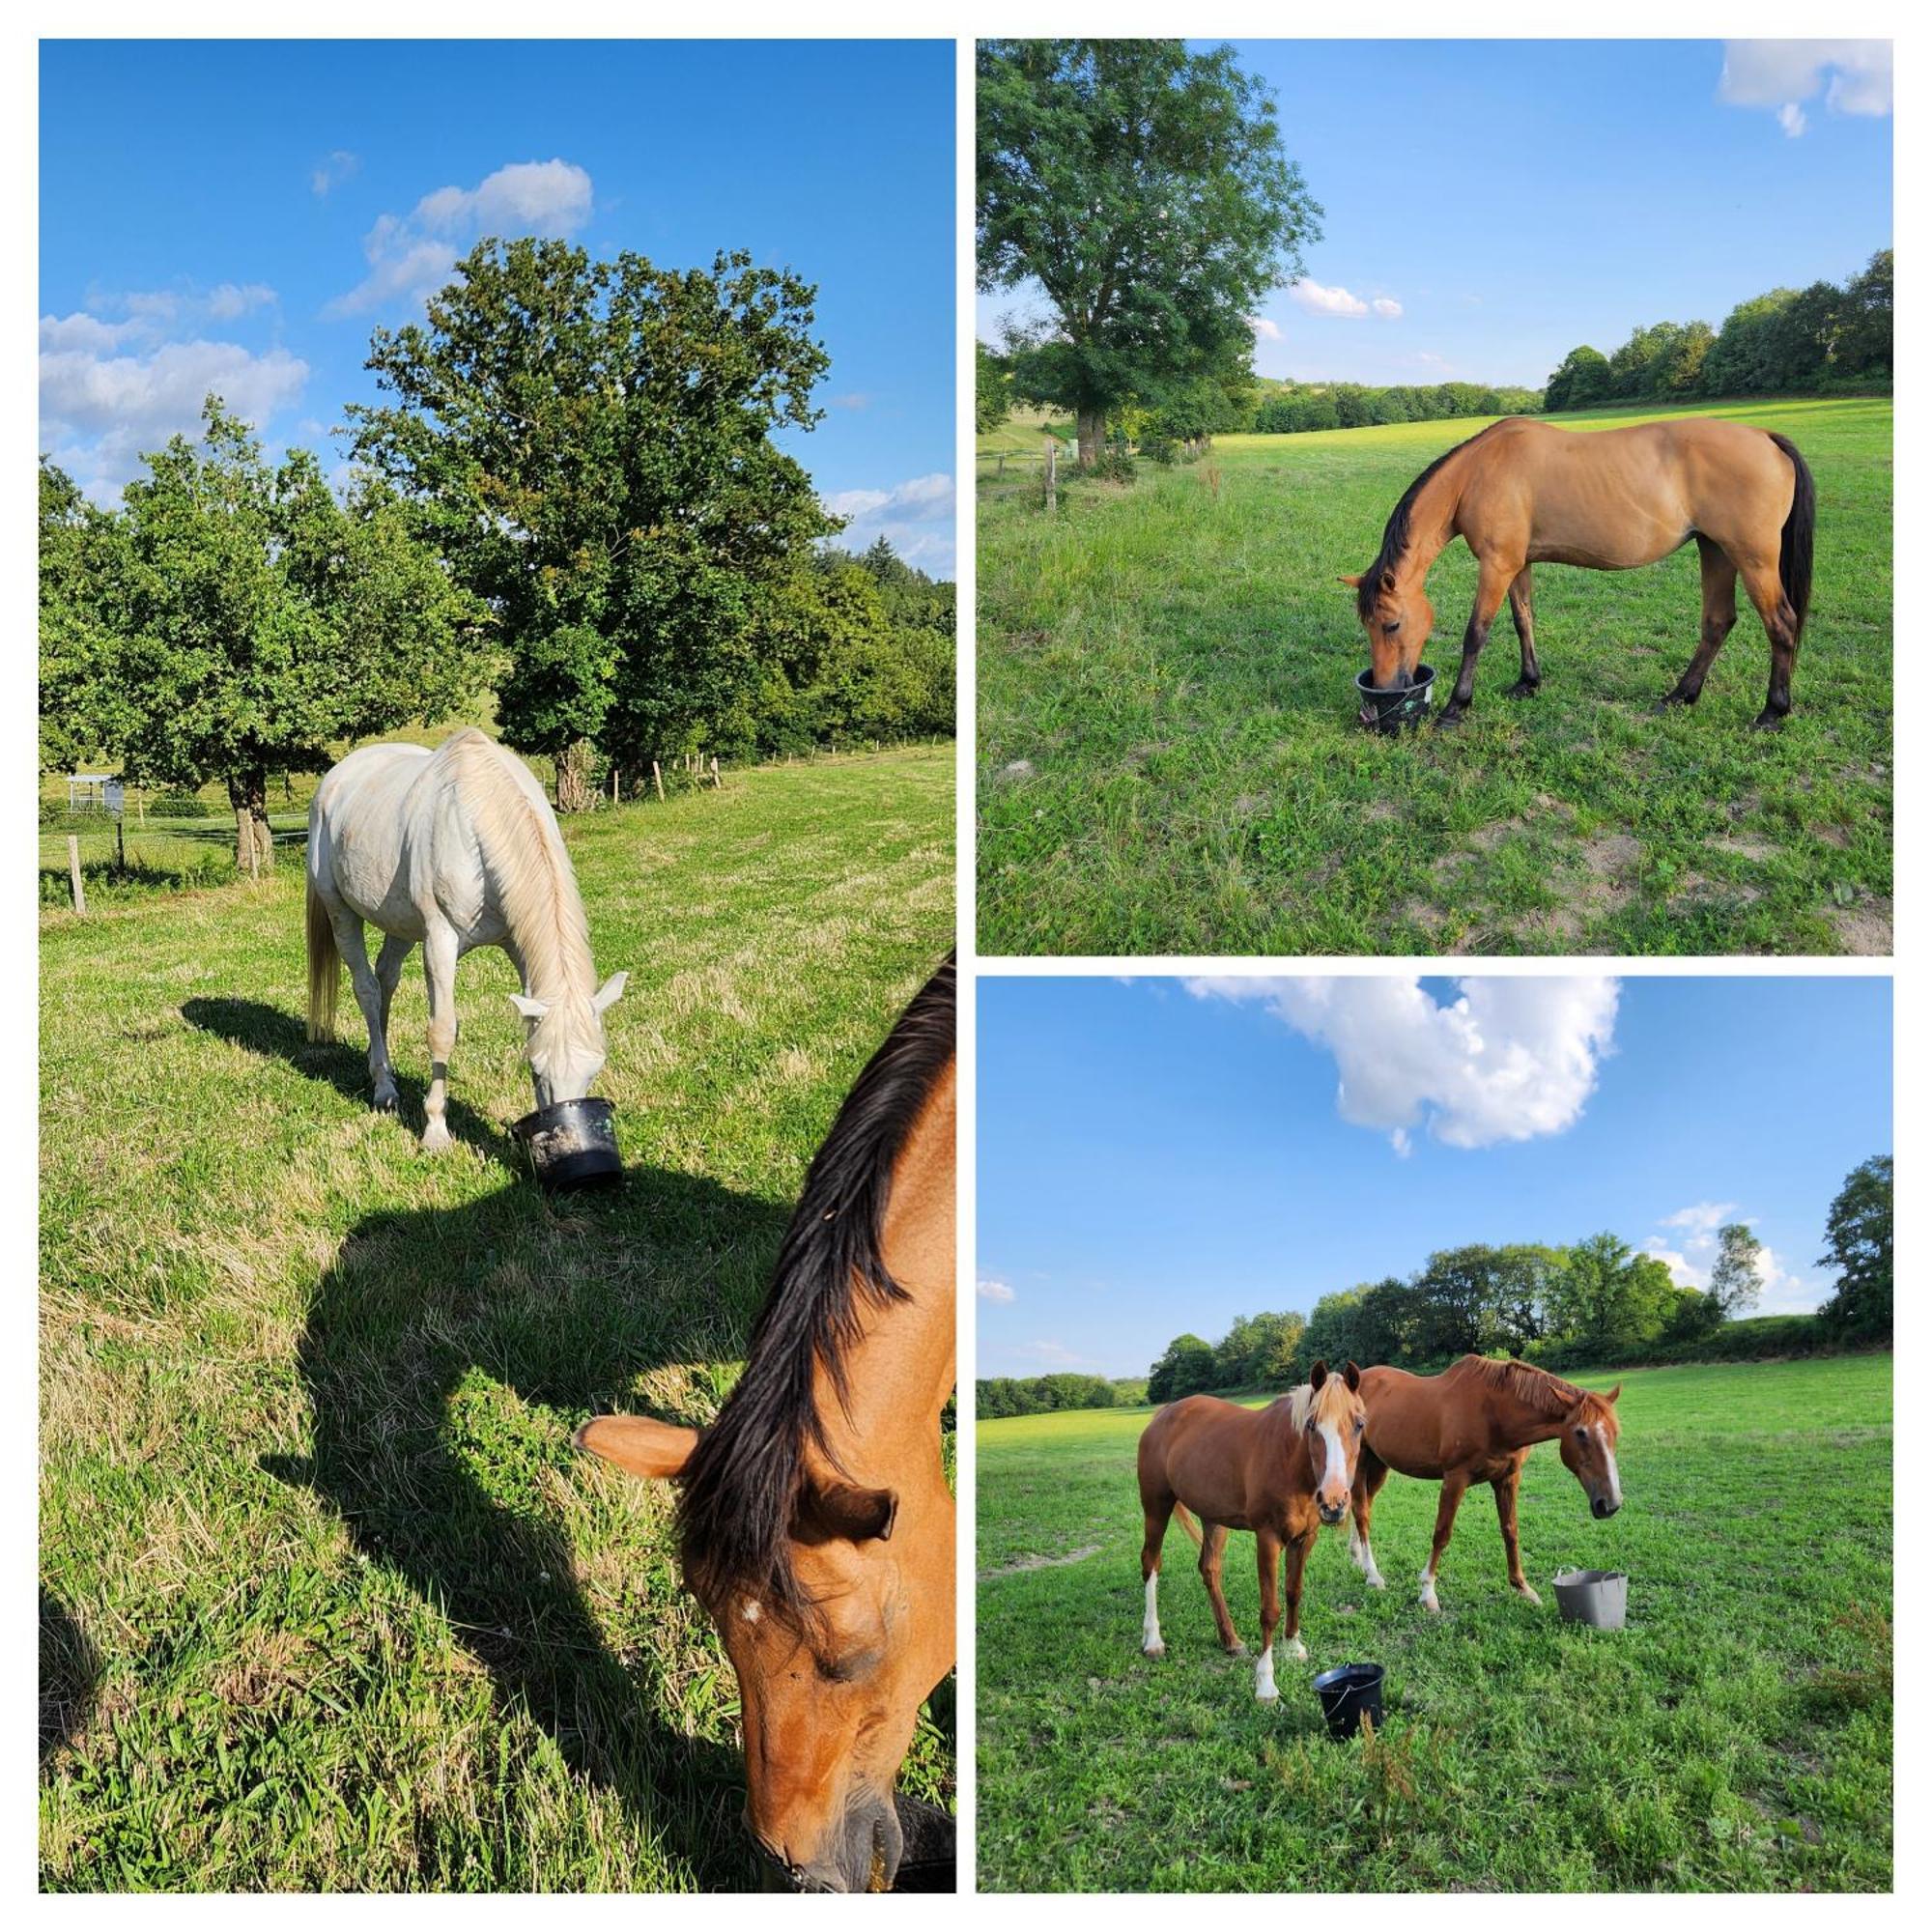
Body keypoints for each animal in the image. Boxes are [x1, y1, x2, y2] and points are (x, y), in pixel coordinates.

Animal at [303, 726, 626, 1144]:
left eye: (595, 1067)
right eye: (537, 1068)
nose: (565, 1127)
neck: (474, 821)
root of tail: (334, 779)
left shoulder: (518, 947)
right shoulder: (439, 942)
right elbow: (442, 1030)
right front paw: (436, 1130)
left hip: (400, 923)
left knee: (385, 979)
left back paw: (381, 1068)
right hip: (341, 911)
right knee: (367, 990)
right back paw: (384, 1088)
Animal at [1136, 1368, 1368, 1700]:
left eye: (1359, 1424)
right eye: (1311, 1425)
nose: (1334, 1502)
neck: (1290, 1462)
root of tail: (1163, 1414)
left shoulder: (1304, 1539)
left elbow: (1293, 1592)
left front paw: (1293, 1646)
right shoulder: (1267, 1539)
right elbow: (1269, 1609)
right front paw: (1266, 1683)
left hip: (1213, 1520)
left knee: (1209, 1569)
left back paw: (1230, 1640)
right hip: (1156, 1507)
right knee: (1151, 1564)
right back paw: (1153, 1640)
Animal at [1345, 1360, 1631, 1615]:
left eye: (1616, 1433)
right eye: (1580, 1433)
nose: (1610, 1503)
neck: (1494, 1414)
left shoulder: (1507, 1478)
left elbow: (1510, 1531)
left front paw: (1523, 1588)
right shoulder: (1455, 1478)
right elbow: (1442, 1533)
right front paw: (1428, 1592)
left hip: (1379, 1465)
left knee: (1364, 1507)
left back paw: (1358, 1559)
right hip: (1361, 1462)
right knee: (1361, 1512)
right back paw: (1373, 1575)